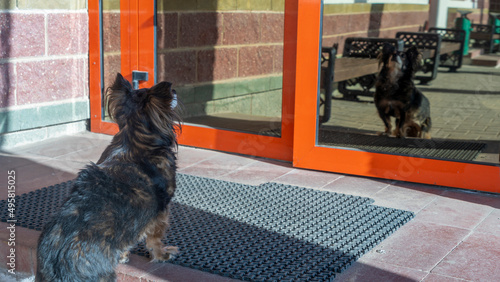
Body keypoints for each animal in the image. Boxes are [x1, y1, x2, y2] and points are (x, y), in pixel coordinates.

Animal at [35, 73, 181, 282]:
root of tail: (59, 260)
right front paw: (162, 254)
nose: (175, 90)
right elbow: (155, 238)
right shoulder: (160, 210)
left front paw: (123, 255)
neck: (133, 138)